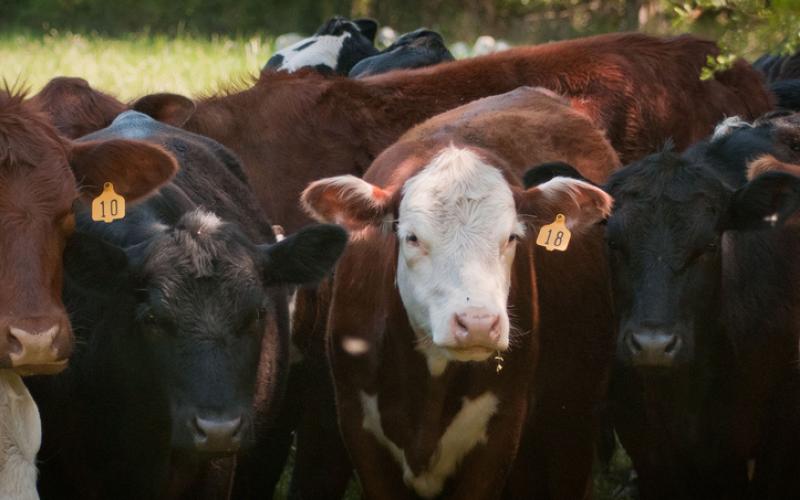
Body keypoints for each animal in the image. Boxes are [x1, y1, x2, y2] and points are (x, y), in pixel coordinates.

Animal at [300, 86, 619, 498]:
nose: (478, 323)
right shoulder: (358, 428)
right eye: (412, 237)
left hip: (574, 418)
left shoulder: (501, 432)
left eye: (512, 237)